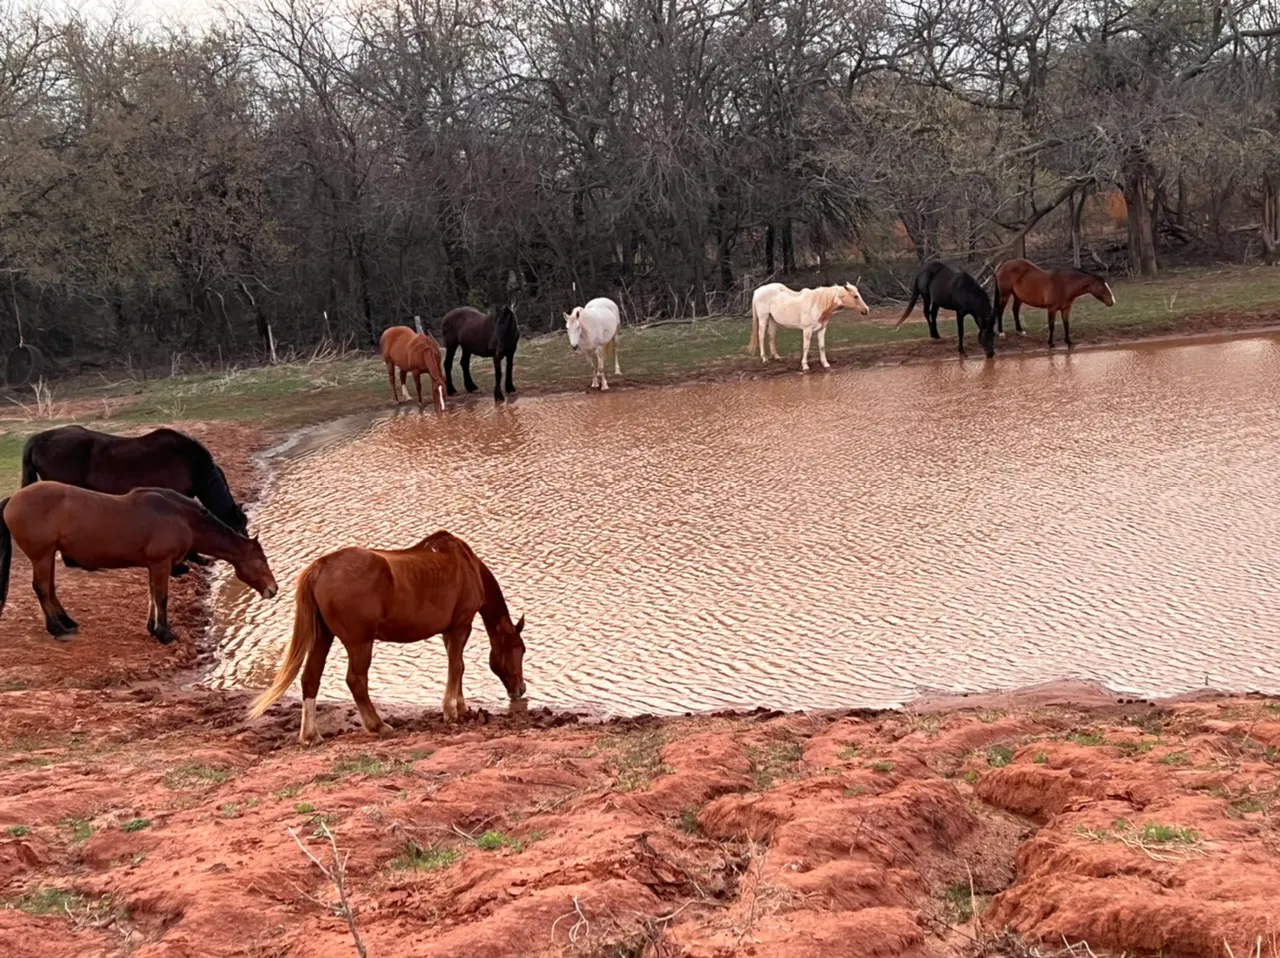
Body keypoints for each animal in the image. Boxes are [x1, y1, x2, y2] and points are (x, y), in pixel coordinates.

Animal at [0, 481, 277, 643]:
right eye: (260, 561)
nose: (273, 590)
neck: (181, 517)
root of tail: (13, 498)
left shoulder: (154, 565)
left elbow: (152, 596)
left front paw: (153, 629)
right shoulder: (161, 563)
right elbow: (161, 597)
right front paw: (165, 634)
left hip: (48, 555)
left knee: (49, 588)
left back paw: (67, 622)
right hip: (42, 556)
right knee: (41, 588)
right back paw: (57, 629)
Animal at [246, 530, 525, 744]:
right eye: (520, 650)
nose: (521, 689)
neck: (466, 564)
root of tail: (320, 567)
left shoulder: (449, 633)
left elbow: (456, 667)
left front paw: (461, 706)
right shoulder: (460, 626)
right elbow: (457, 666)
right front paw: (451, 712)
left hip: (323, 637)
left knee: (310, 678)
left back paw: (310, 735)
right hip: (360, 643)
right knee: (356, 681)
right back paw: (378, 725)